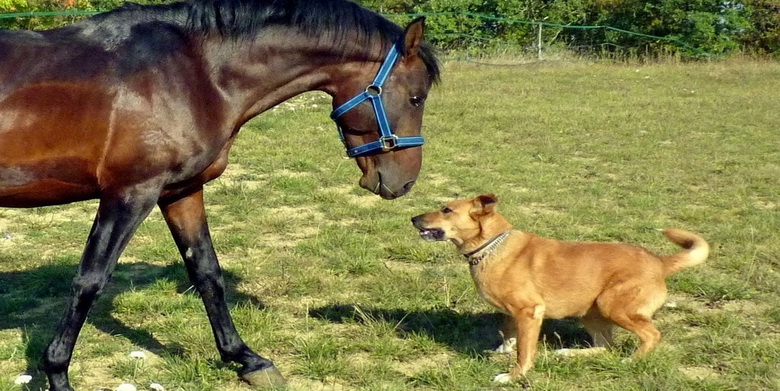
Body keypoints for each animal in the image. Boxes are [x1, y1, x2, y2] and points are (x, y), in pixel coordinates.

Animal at [0, 0, 438, 388]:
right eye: (416, 97)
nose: (404, 182)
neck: (194, 74)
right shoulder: (130, 192)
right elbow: (89, 280)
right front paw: (57, 373)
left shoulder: (181, 191)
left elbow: (207, 272)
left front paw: (247, 359)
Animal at [412, 194, 708, 384]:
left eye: (446, 210)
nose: (414, 218)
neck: (492, 246)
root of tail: (659, 262)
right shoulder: (512, 312)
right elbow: (508, 334)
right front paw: (502, 350)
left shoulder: (529, 312)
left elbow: (524, 351)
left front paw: (512, 376)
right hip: (591, 312)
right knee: (606, 346)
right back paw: (568, 353)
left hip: (613, 306)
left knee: (650, 335)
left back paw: (632, 361)